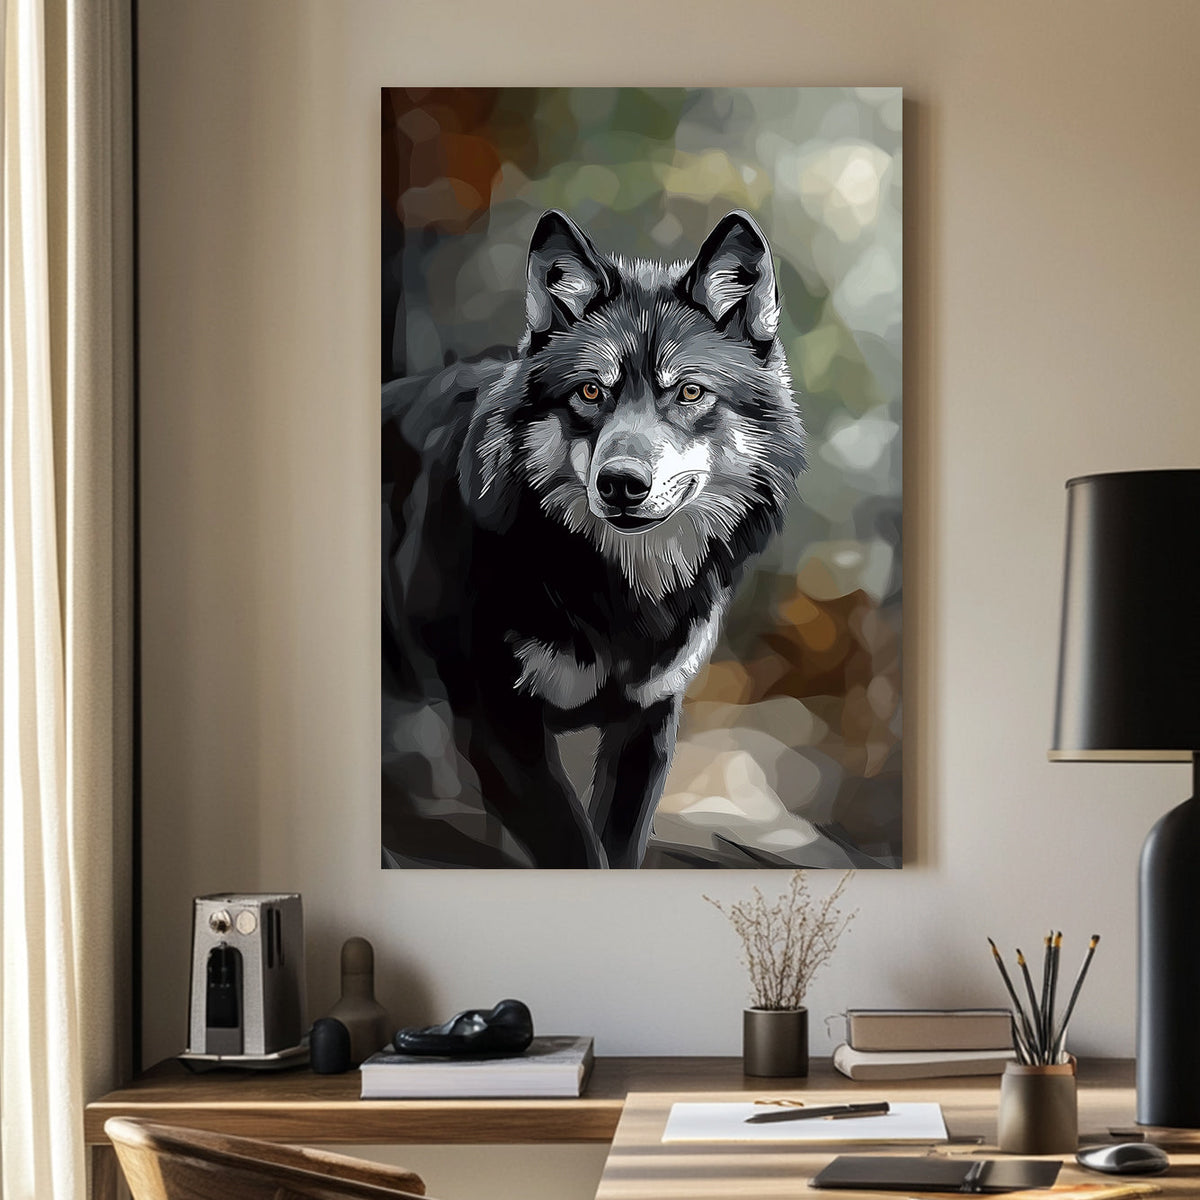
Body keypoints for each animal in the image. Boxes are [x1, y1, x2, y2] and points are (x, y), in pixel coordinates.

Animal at [382, 209, 805, 869]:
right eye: (590, 392)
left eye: (689, 391)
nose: (621, 483)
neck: (618, 595)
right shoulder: (498, 727)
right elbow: (577, 851)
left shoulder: (647, 721)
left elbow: (619, 849)